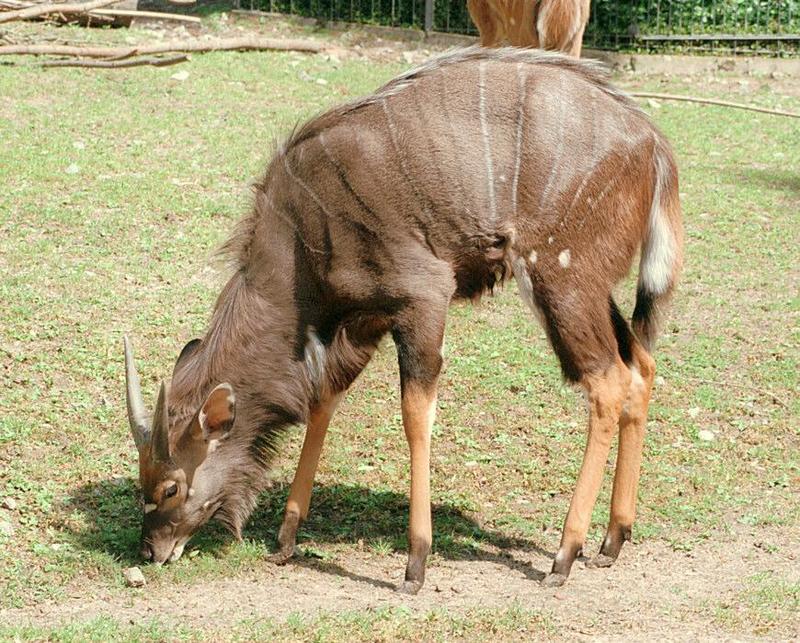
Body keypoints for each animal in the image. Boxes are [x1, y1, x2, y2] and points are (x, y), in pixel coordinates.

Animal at [123, 46, 680, 592]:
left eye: (170, 487)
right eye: (142, 479)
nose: (150, 551)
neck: (301, 238)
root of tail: (653, 144)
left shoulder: (423, 295)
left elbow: (415, 414)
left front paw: (416, 562)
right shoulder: (365, 321)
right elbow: (323, 403)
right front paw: (286, 538)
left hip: (559, 276)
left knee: (607, 381)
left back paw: (564, 555)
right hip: (591, 288)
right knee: (641, 366)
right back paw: (613, 539)